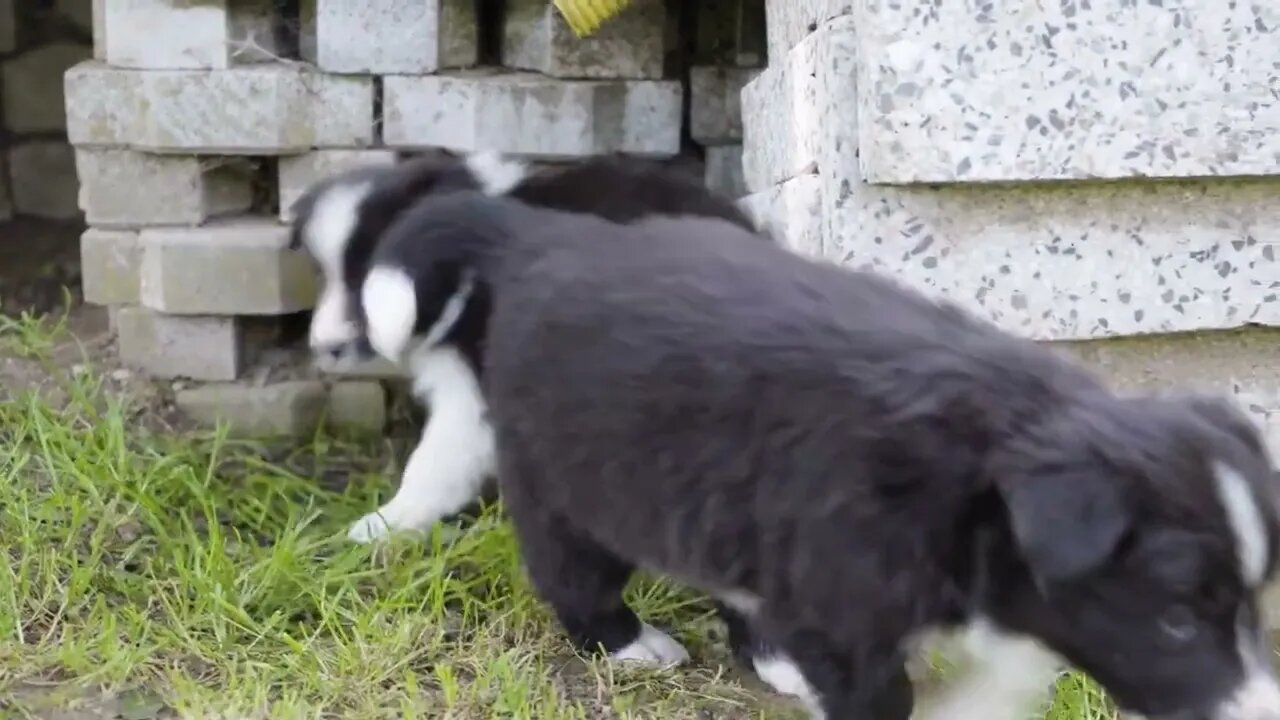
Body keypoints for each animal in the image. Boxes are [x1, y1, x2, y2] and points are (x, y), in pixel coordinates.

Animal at [355, 190, 1280, 717]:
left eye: (1251, 612)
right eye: (1174, 621)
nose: (1257, 710)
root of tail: (542, 236)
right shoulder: (844, 586)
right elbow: (881, 694)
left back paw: (774, 663)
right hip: (575, 470)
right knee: (570, 569)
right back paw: (627, 643)